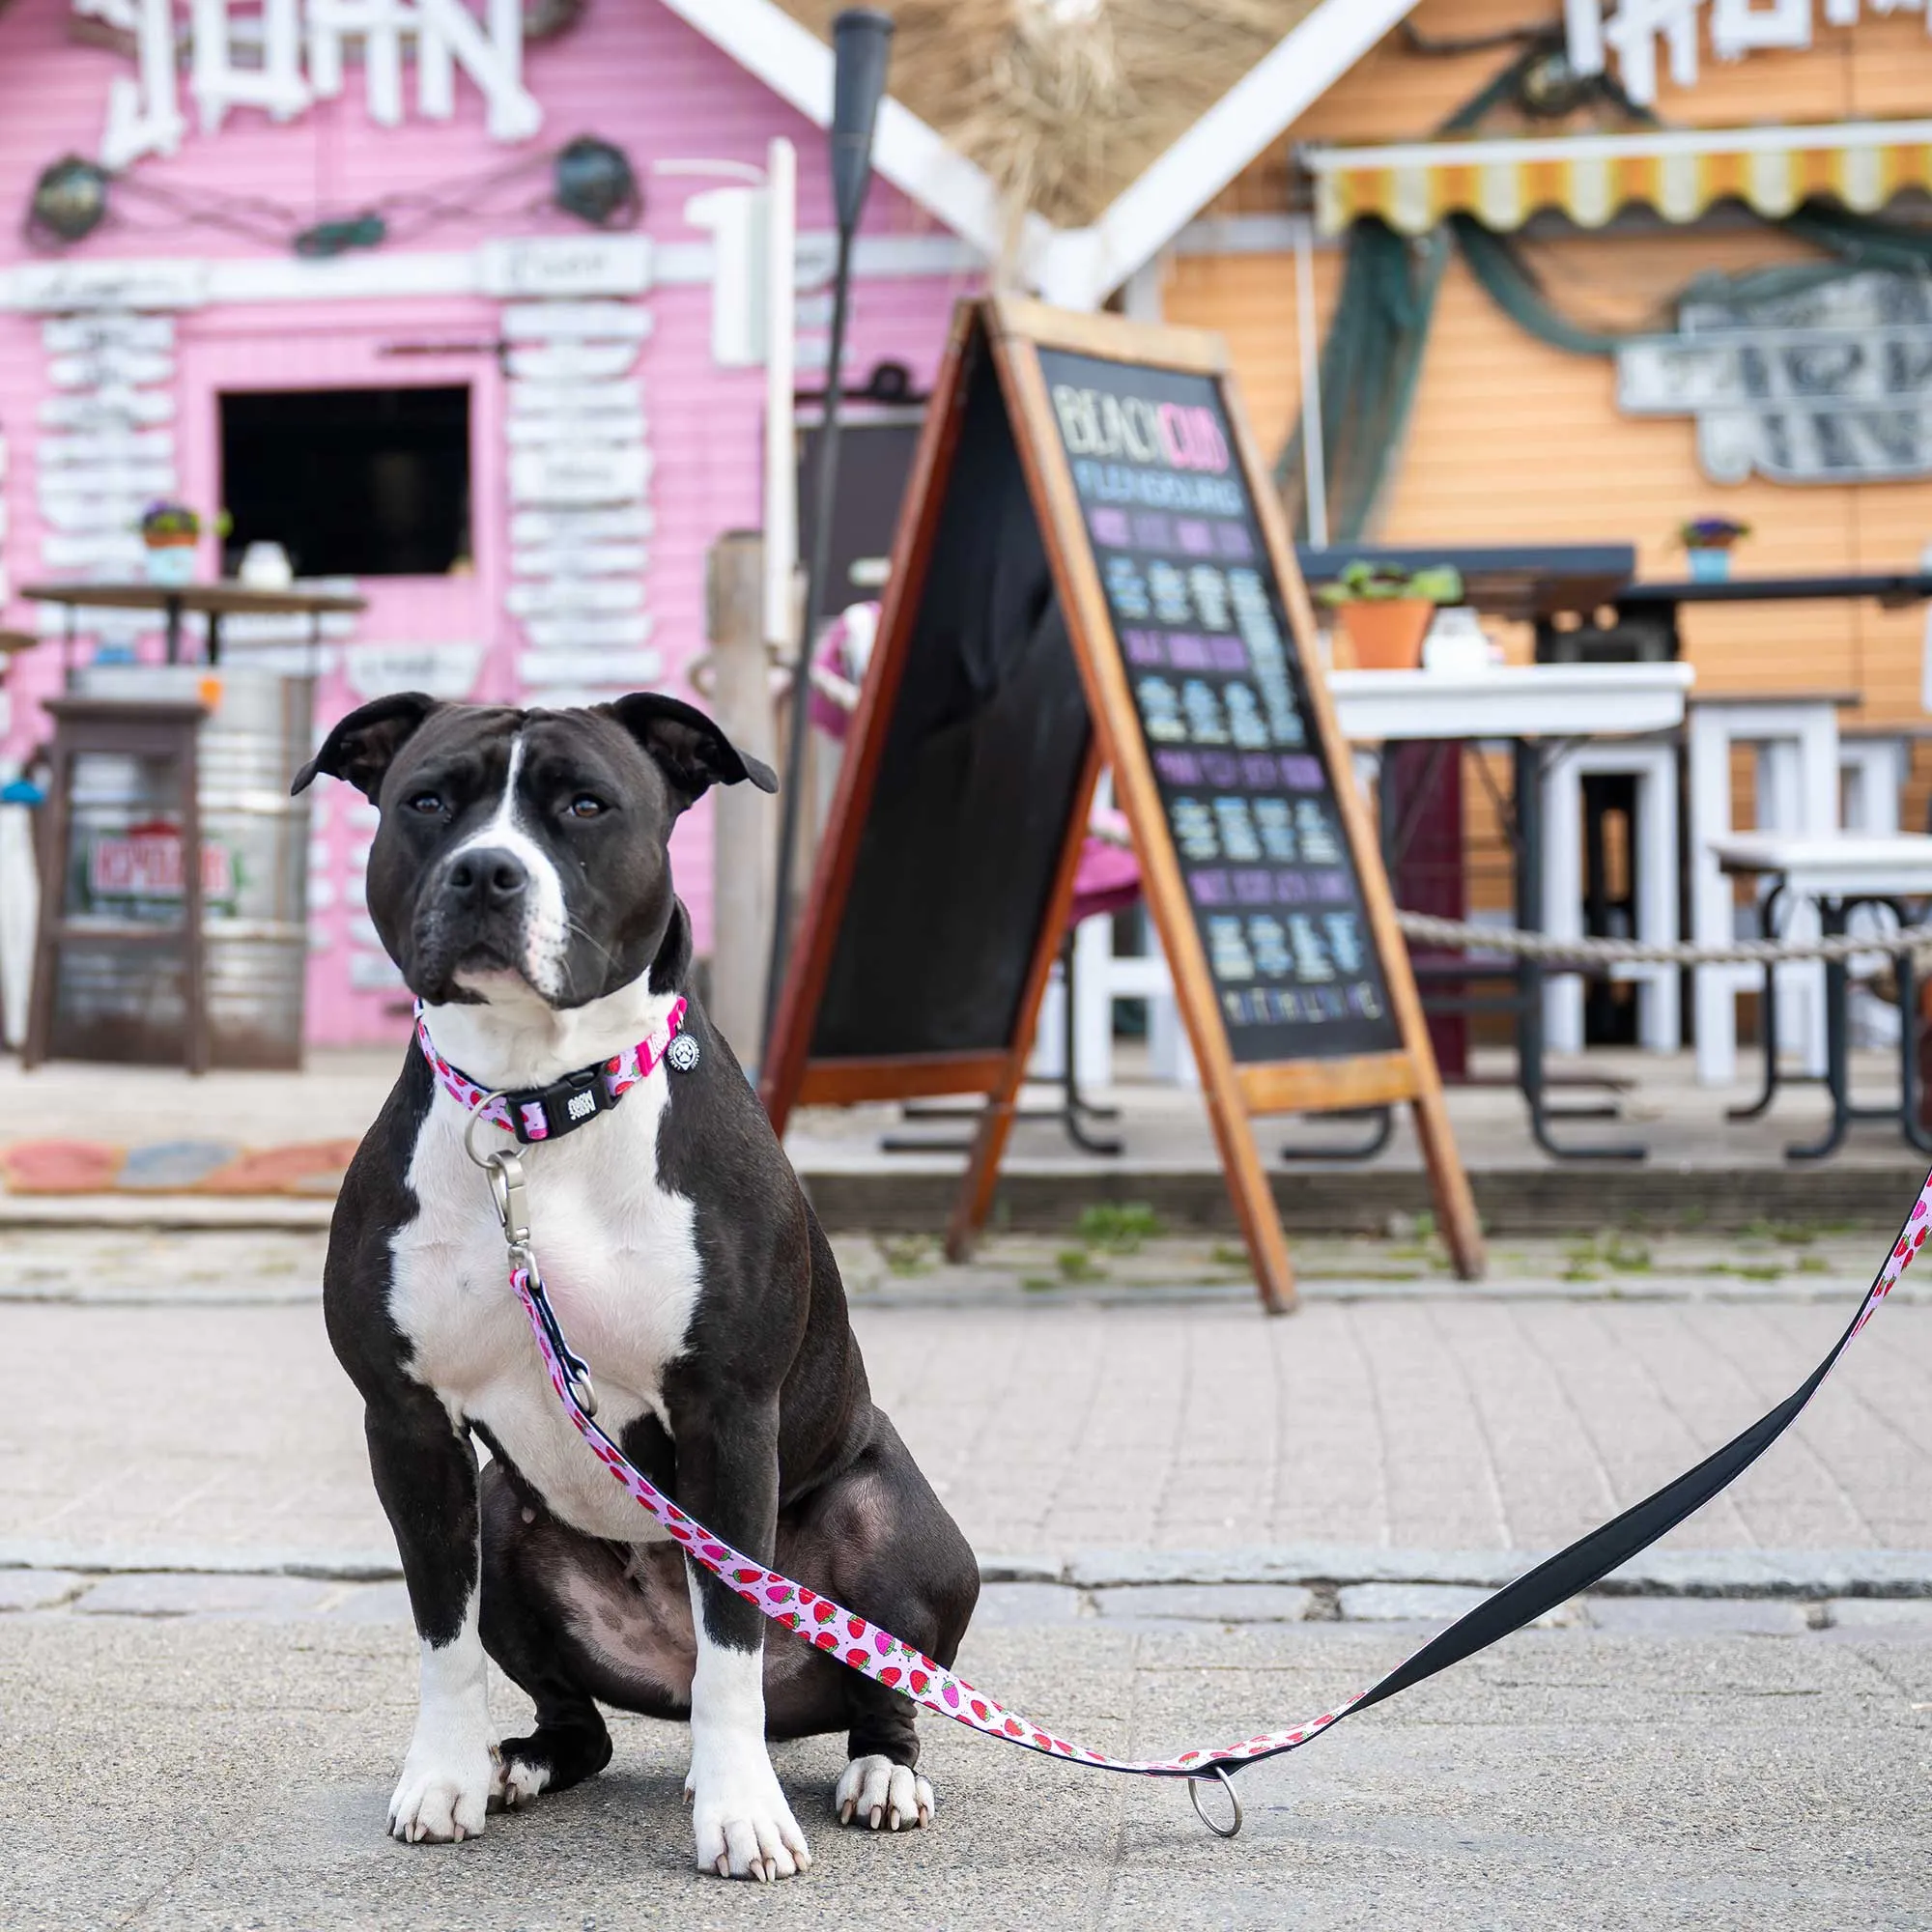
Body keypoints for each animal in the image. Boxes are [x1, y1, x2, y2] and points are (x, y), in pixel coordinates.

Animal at [294, 696, 981, 1886]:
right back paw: (520, 1762)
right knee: (587, 1719)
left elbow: (733, 1639)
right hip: (507, 1512)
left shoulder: (727, 1417)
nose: (486, 871)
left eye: (584, 805)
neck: (534, 1111)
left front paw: (743, 1814)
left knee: (875, 1683)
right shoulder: (409, 1424)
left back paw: (875, 1772)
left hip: (890, 1525)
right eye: (427, 800)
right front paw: (442, 1777)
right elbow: (440, 1629)